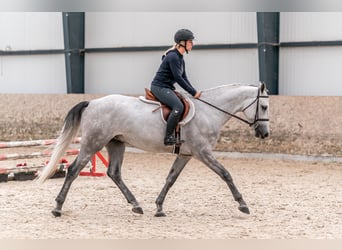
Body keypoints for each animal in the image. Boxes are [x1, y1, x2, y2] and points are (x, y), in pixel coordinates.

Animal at [35, 82, 270, 217]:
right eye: (264, 106)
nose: (265, 134)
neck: (209, 111)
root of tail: (92, 103)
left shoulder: (186, 154)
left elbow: (170, 179)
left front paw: (159, 207)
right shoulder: (203, 153)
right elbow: (226, 174)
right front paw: (242, 204)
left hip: (116, 143)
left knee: (114, 173)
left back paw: (136, 205)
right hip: (93, 143)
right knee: (74, 170)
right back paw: (57, 208)